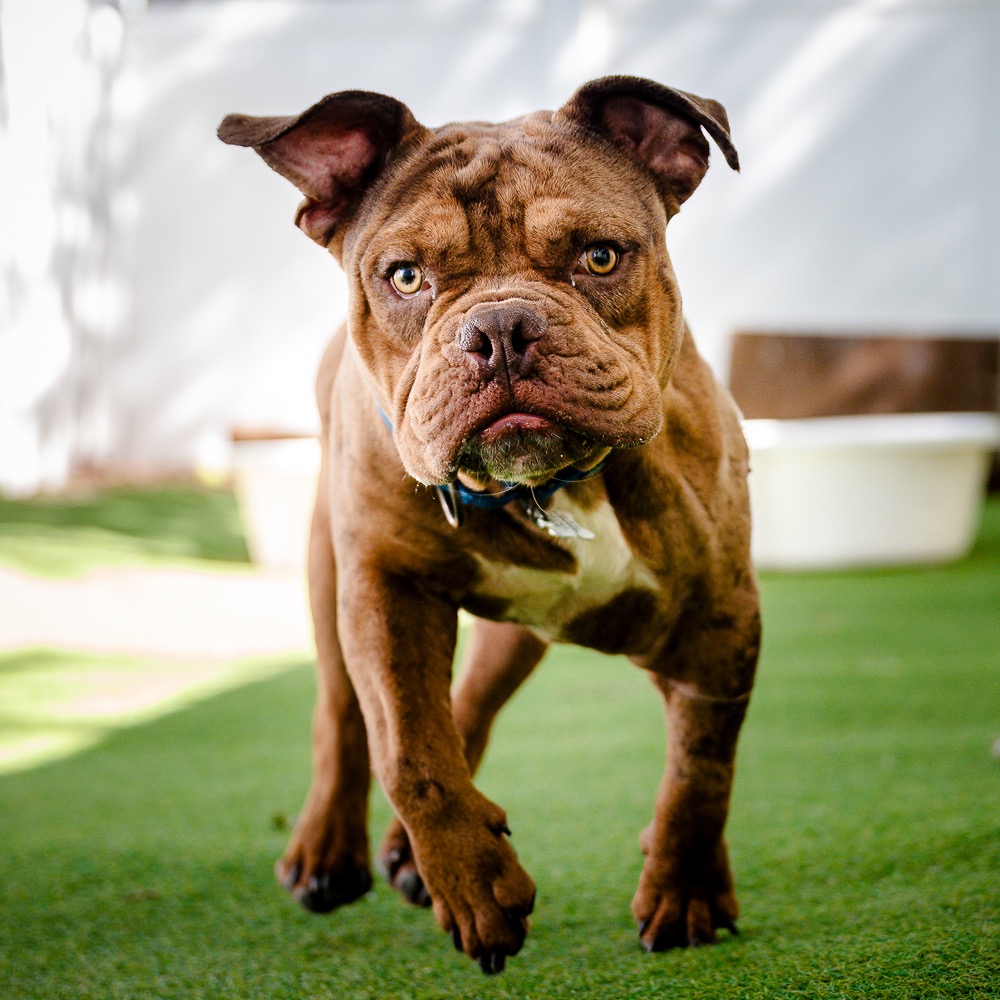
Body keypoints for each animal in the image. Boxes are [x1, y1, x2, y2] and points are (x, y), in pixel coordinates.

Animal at [219, 75, 760, 975]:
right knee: (344, 714)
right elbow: (408, 748)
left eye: (600, 257)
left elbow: (701, 770)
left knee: (472, 696)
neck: (548, 488)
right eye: (406, 277)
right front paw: (474, 885)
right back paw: (331, 851)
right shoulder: (382, 586)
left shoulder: (718, 616)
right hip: (329, 574)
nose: (501, 327)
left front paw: (683, 889)